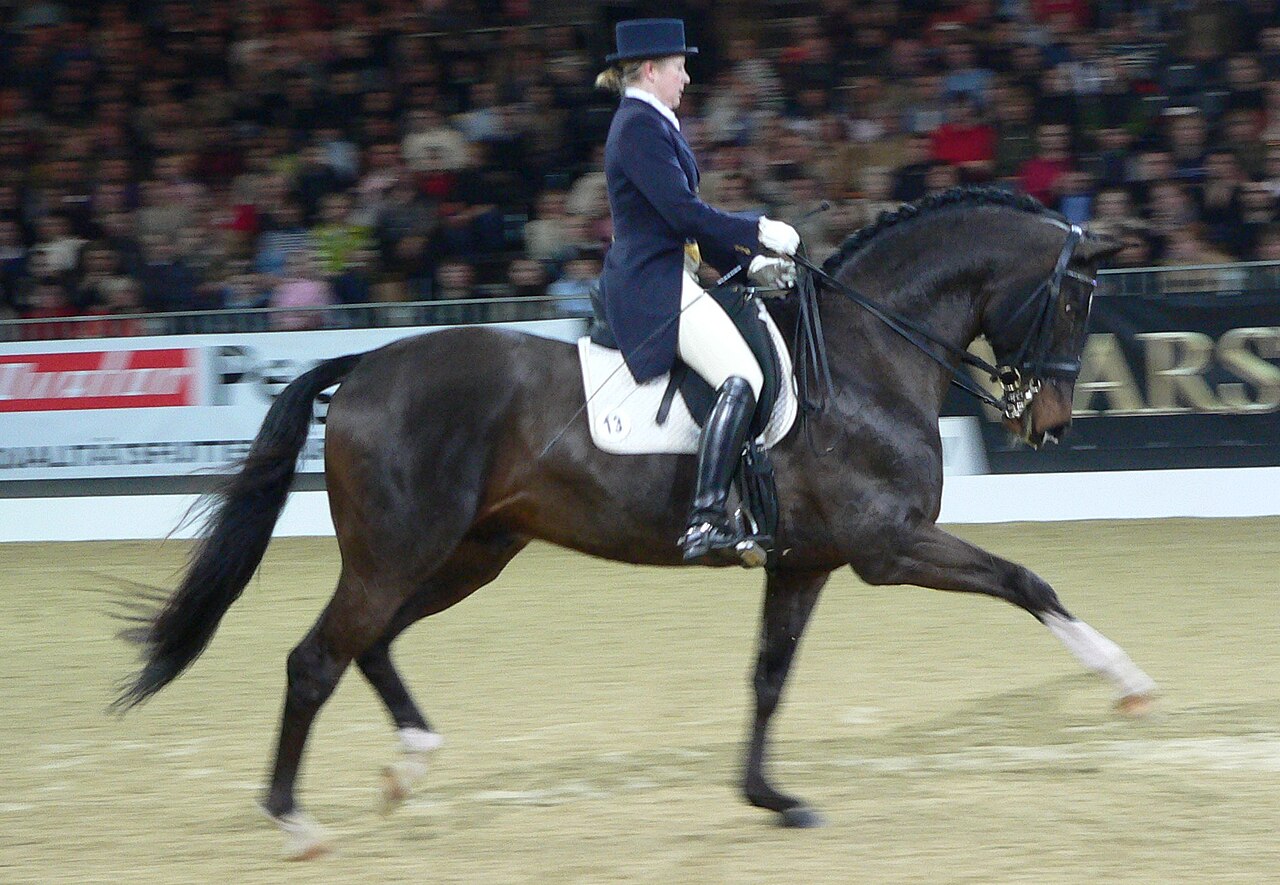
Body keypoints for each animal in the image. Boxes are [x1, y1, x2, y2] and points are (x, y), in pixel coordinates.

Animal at [117, 187, 1154, 859]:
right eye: (1073, 300)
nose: (1051, 424)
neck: (865, 358)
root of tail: (366, 362)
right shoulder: (887, 546)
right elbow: (1026, 579)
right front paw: (1127, 681)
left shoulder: (805, 562)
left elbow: (768, 678)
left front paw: (770, 798)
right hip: (401, 550)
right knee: (316, 658)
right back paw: (295, 821)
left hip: (468, 553)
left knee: (369, 644)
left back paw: (407, 767)